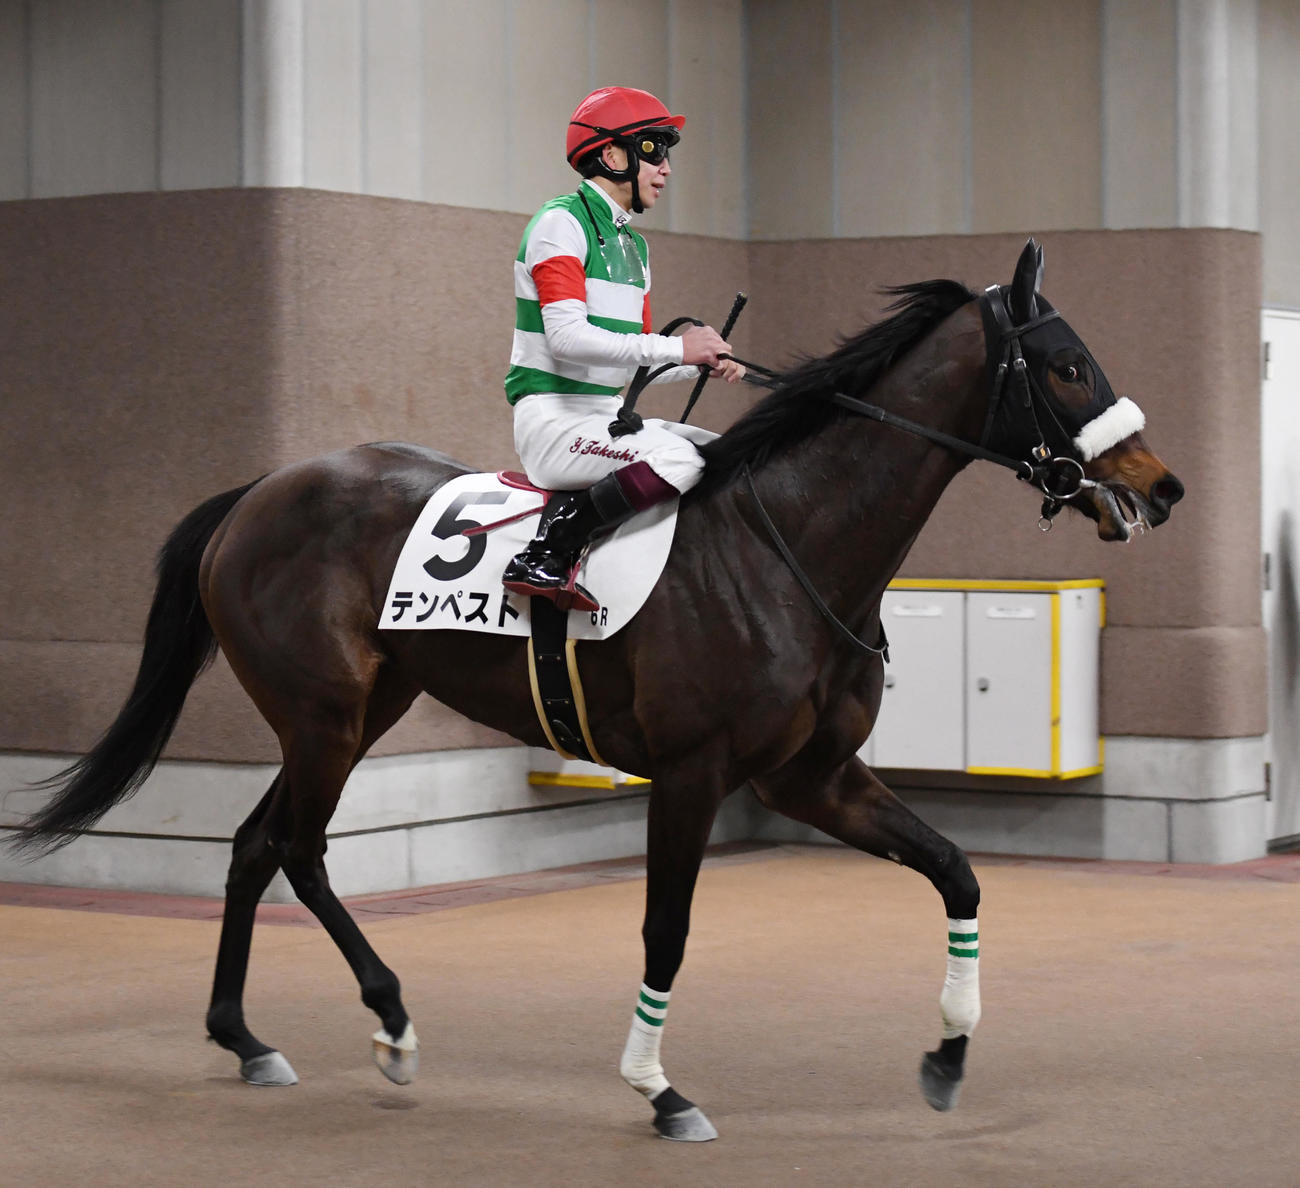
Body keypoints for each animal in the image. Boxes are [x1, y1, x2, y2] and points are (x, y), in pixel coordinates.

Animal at [13, 239, 1182, 1141]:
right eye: (1067, 365)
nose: (1160, 486)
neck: (790, 545)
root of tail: (261, 488)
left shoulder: (812, 777)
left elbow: (955, 873)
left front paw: (946, 1057)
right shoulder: (695, 772)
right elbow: (666, 929)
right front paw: (659, 1091)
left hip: (356, 712)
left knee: (257, 844)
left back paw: (245, 1036)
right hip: (324, 717)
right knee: (296, 848)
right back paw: (390, 1021)